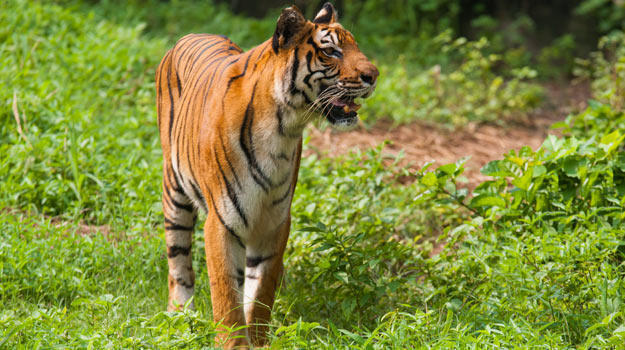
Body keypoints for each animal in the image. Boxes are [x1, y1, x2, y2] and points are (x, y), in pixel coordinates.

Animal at [156, 2, 378, 348]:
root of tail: (191, 34)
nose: (374, 75)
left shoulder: (274, 221)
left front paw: (259, 341)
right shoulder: (221, 222)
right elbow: (226, 296)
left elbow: (260, 292)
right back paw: (180, 316)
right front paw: (233, 342)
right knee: (178, 262)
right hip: (174, 192)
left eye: (354, 46)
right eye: (331, 51)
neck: (283, 127)